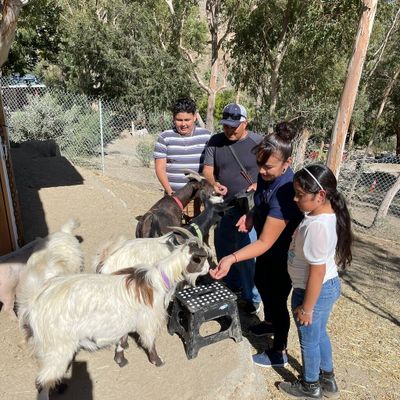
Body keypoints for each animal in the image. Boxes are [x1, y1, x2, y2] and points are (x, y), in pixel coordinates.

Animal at [22, 238, 209, 400]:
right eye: (201, 259)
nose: (209, 269)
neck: (159, 279)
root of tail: (35, 305)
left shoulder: (125, 320)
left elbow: (122, 338)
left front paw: (121, 358)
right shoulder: (147, 321)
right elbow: (150, 343)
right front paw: (158, 361)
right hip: (58, 344)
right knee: (43, 379)